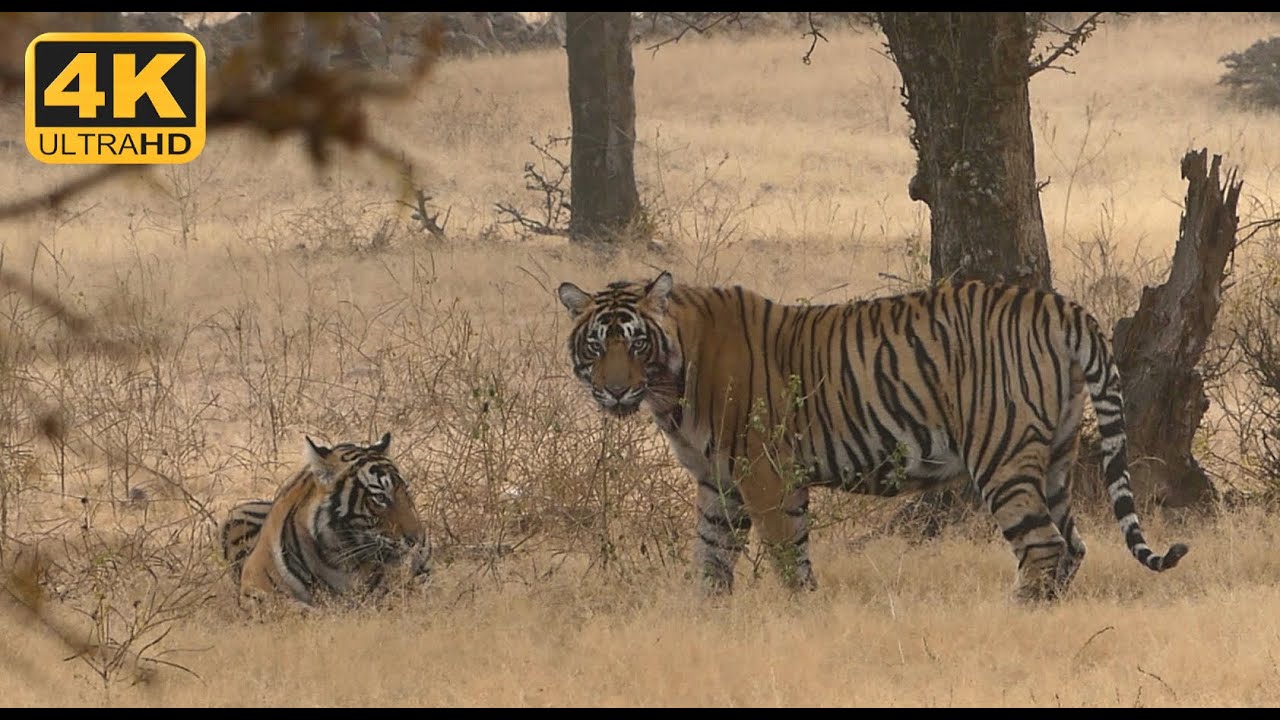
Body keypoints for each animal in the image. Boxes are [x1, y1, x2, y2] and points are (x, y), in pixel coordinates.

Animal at [560, 271, 1187, 597]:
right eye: (596, 345)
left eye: (635, 342)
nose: (614, 391)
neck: (671, 387)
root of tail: (1059, 304)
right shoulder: (719, 481)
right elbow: (711, 556)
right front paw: (711, 618)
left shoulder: (764, 472)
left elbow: (786, 552)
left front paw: (801, 615)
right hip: (1055, 453)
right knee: (1073, 544)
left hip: (1000, 454)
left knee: (1044, 545)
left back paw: (1018, 616)